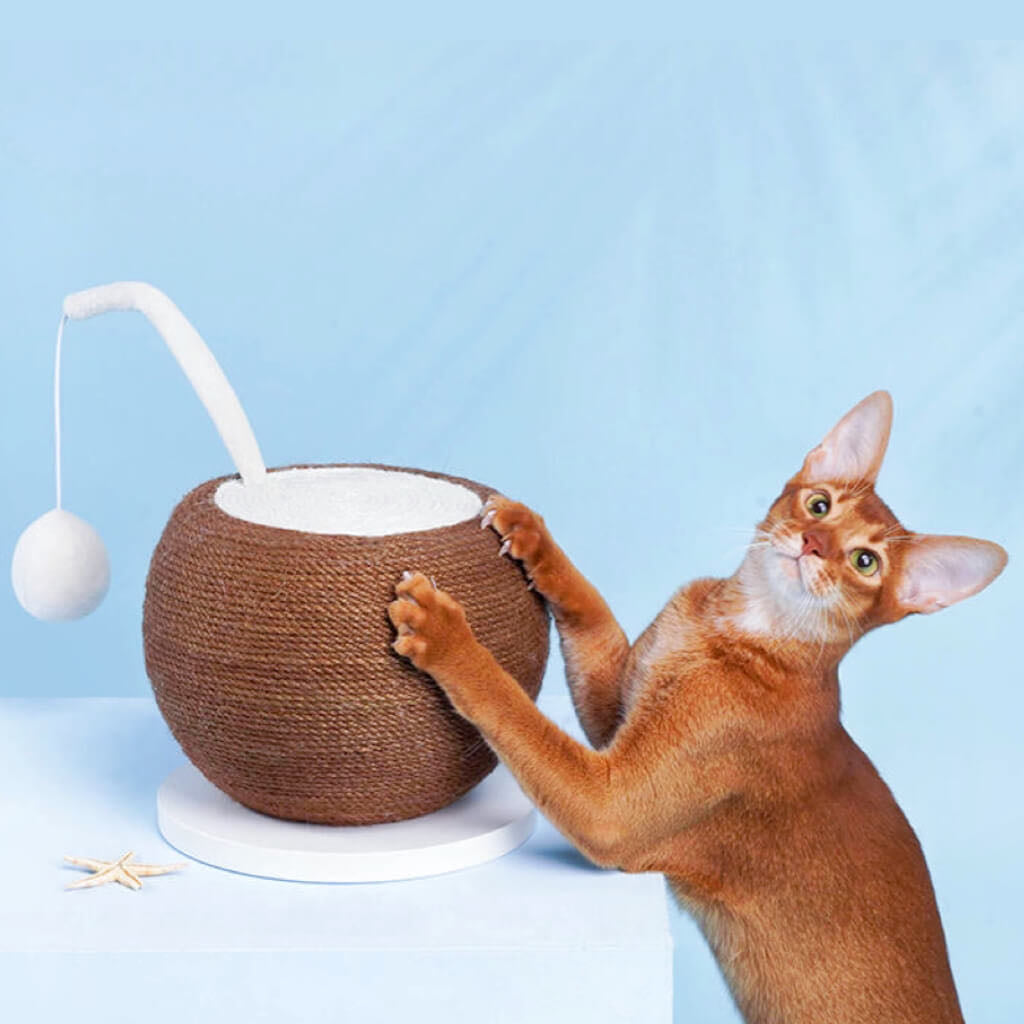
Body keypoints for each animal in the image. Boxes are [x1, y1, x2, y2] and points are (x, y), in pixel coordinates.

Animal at [387, 393, 1003, 1024]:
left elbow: (512, 708)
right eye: (819, 504)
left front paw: (445, 634)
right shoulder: (615, 714)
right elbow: (591, 610)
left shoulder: (610, 809)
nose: (813, 544)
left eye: (864, 562)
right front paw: (534, 537)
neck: (731, 629)